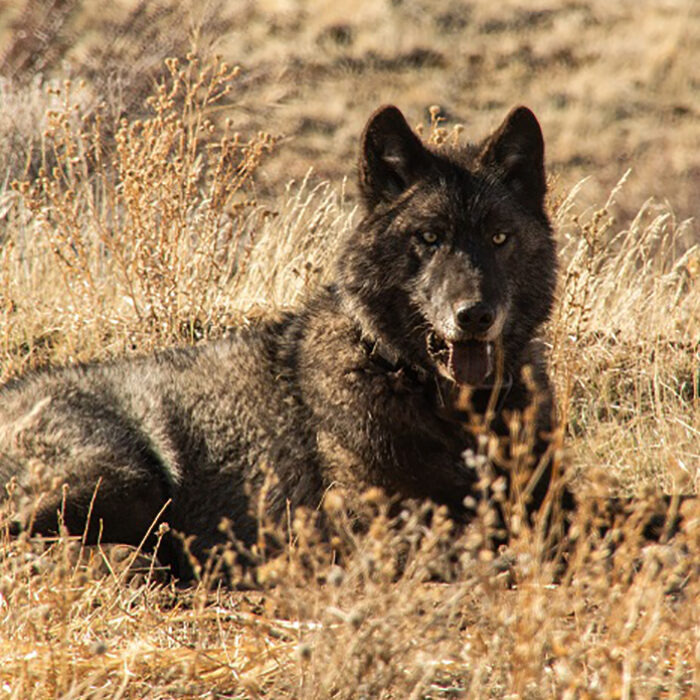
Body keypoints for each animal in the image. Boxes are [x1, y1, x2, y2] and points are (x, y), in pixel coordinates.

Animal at [0, 105, 583, 578]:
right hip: (125, 478)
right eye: (429, 237)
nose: (475, 315)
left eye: (499, 238)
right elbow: (476, 546)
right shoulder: (371, 528)